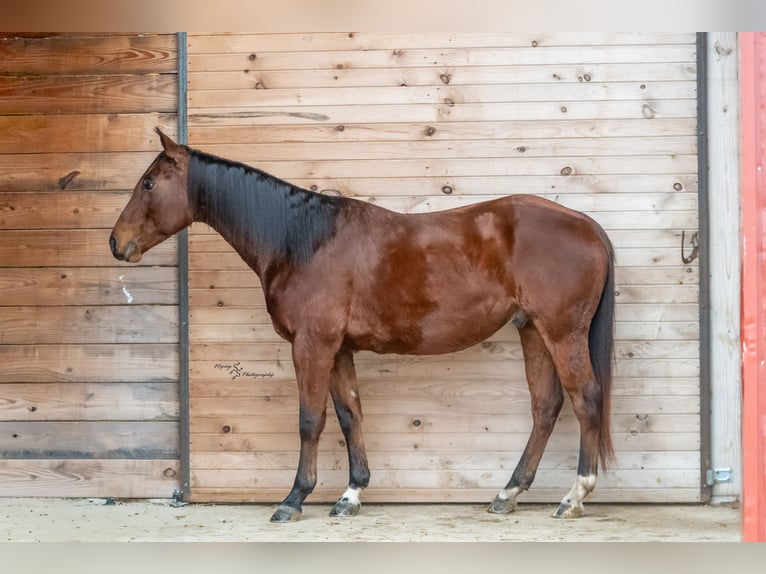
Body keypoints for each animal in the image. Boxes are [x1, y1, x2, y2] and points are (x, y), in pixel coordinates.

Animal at [110, 128, 616, 523]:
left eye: (149, 183)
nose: (117, 243)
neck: (302, 240)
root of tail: (586, 226)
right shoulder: (339, 349)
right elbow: (350, 415)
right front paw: (351, 495)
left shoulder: (312, 345)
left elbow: (310, 419)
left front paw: (294, 499)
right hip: (532, 331)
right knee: (546, 406)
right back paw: (508, 493)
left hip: (562, 333)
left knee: (585, 399)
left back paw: (574, 496)